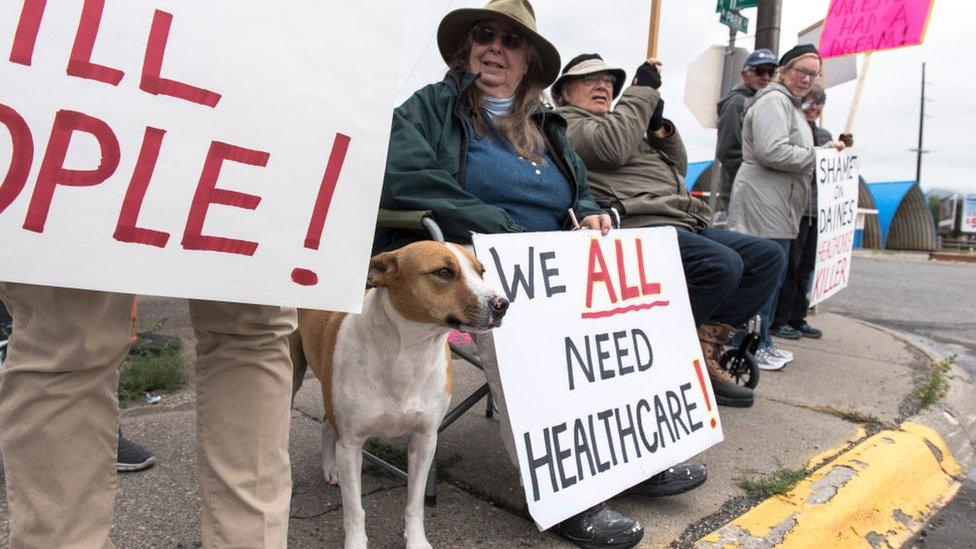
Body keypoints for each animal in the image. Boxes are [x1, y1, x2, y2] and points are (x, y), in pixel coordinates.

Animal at [292, 241, 510, 548]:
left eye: (481, 271)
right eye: (443, 272)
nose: (502, 304)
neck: (409, 352)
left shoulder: (425, 441)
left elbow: (415, 503)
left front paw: (416, 540)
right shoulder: (351, 445)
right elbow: (354, 509)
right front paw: (356, 542)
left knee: (326, 425)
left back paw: (330, 469)